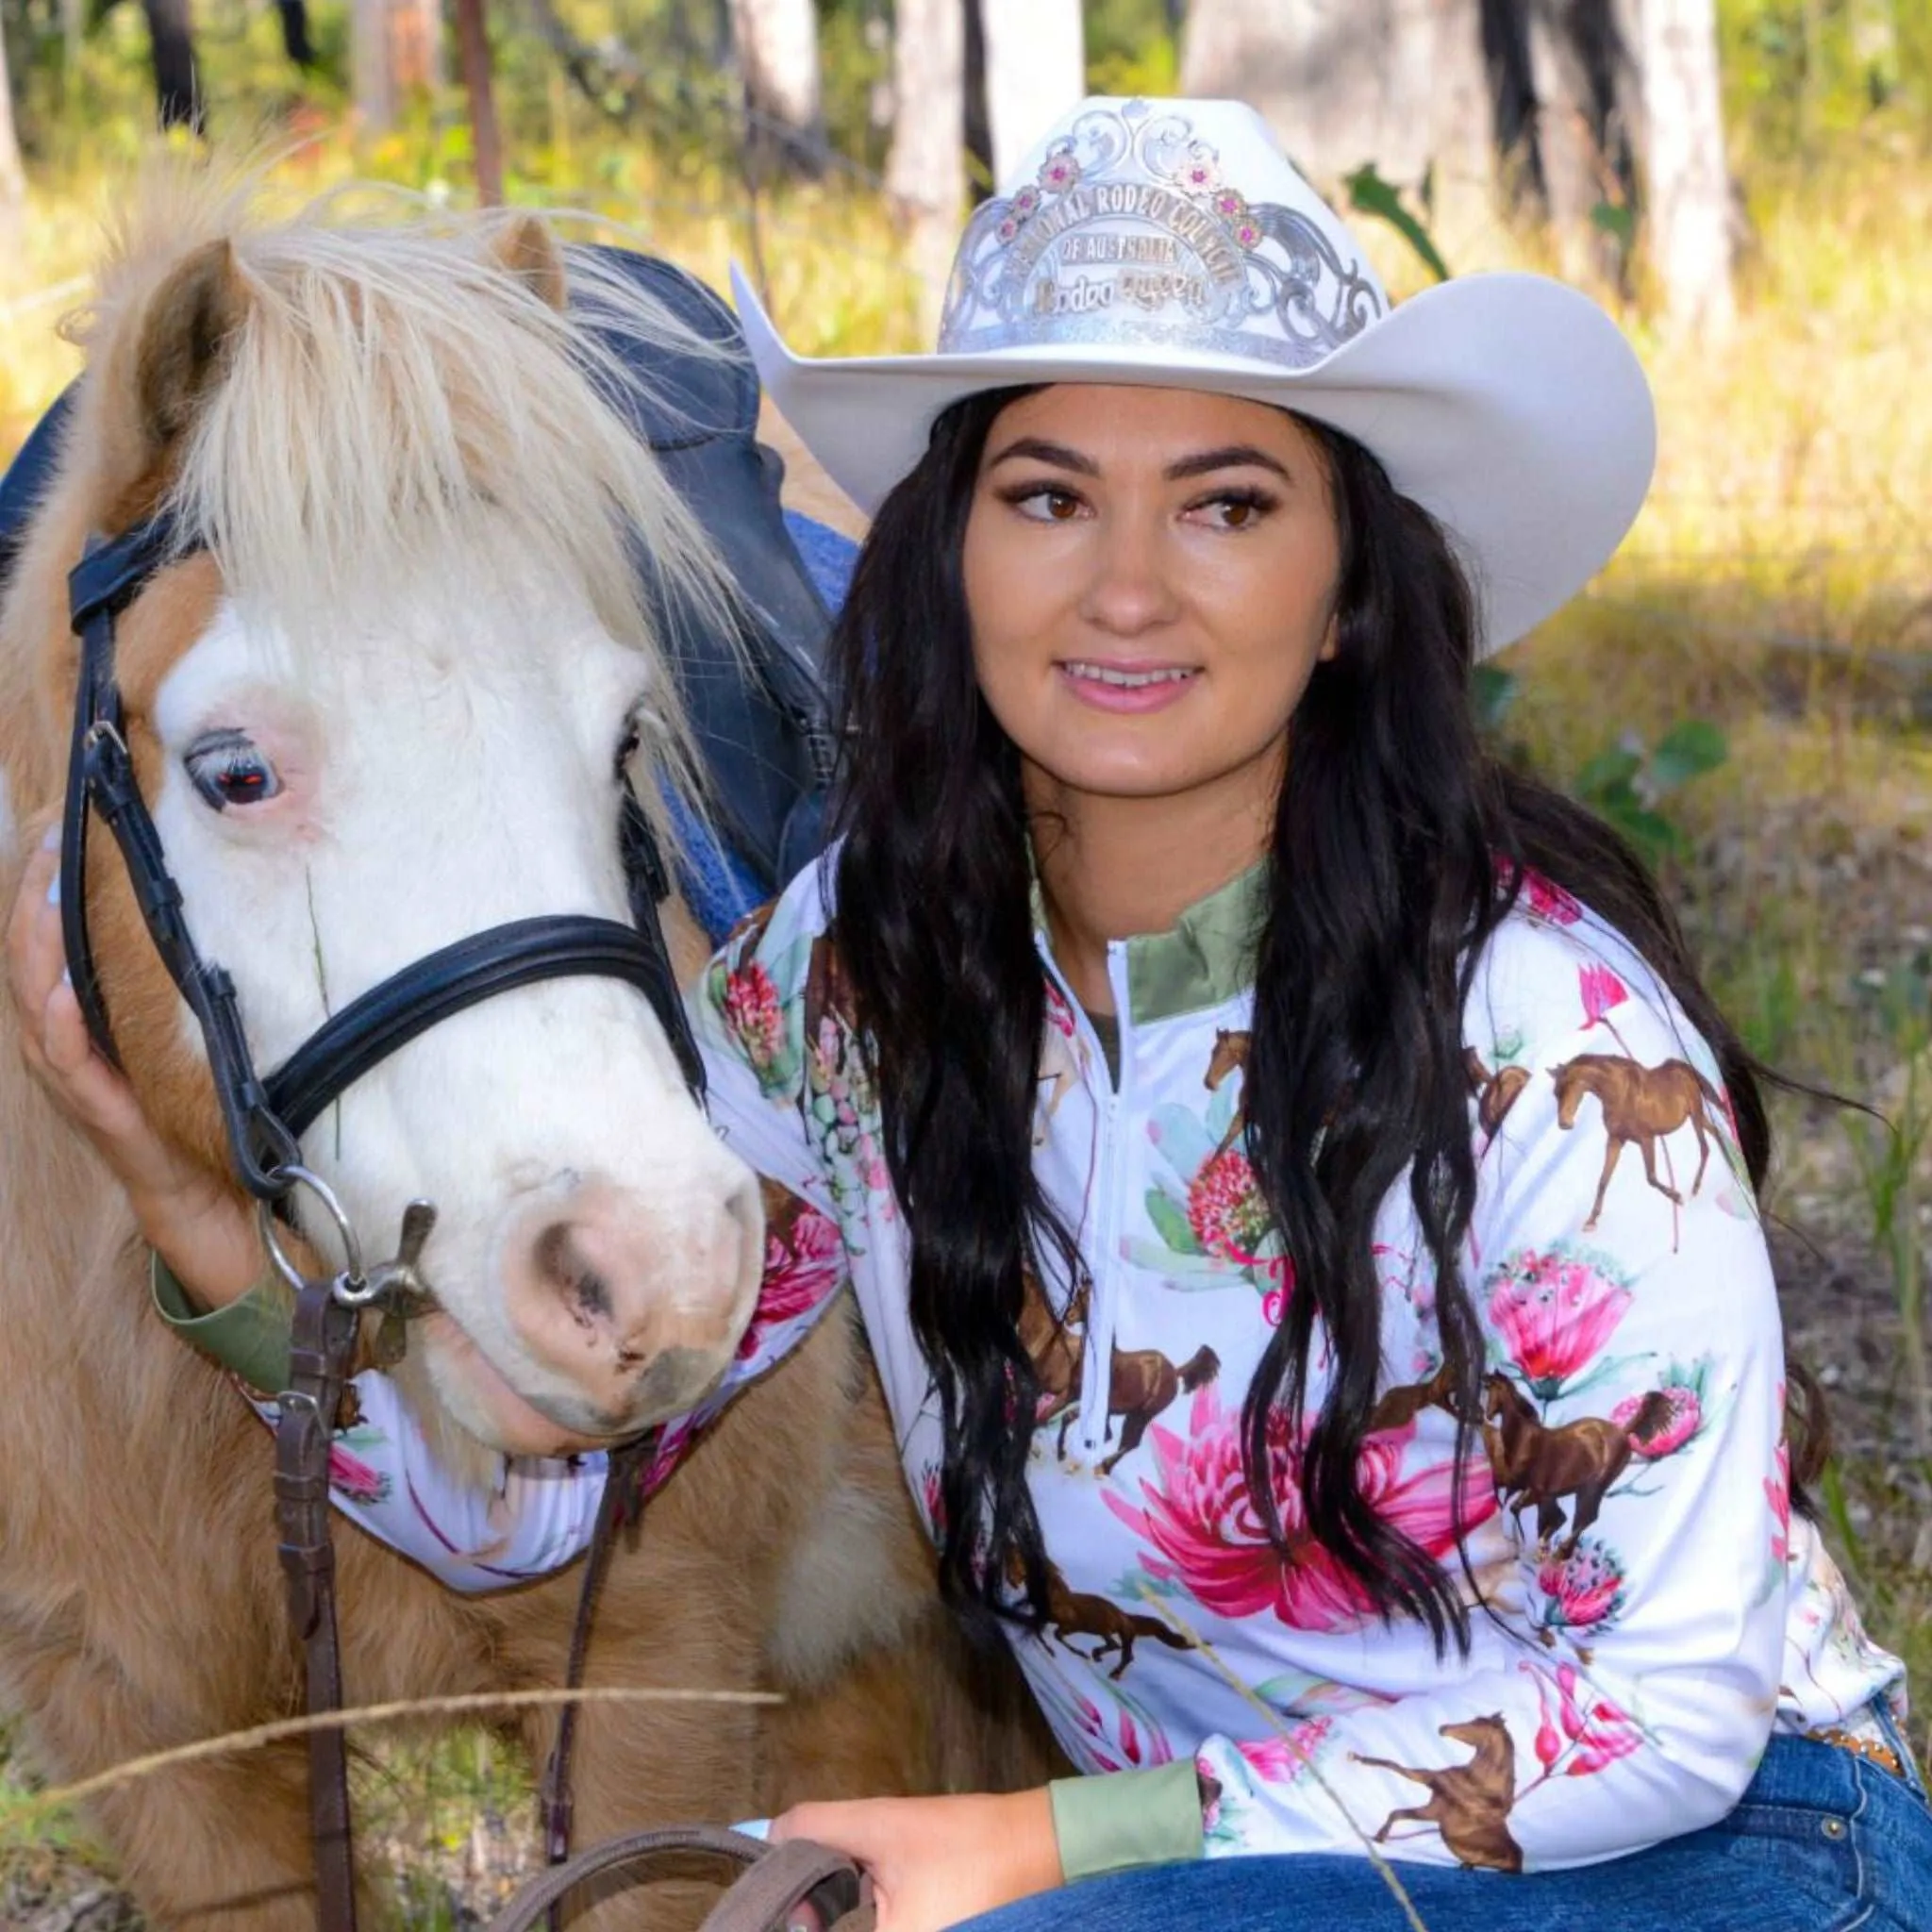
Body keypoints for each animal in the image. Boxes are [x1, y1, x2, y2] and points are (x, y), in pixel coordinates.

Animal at [1545, 1051, 1731, 1228]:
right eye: (1555, 1093)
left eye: (1568, 1086)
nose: (1564, 1124)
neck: (1619, 1093)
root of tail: (1682, 1067)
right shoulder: (1615, 1141)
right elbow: (1603, 1181)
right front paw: (1591, 1221)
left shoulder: (1647, 1139)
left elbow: (1651, 1177)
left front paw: (1677, 1197)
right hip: (1696, 1116)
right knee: (1716, 1133)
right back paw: (1729, 1166)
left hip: (1695, 1114)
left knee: (1705, 1147)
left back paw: (1696, 1188)